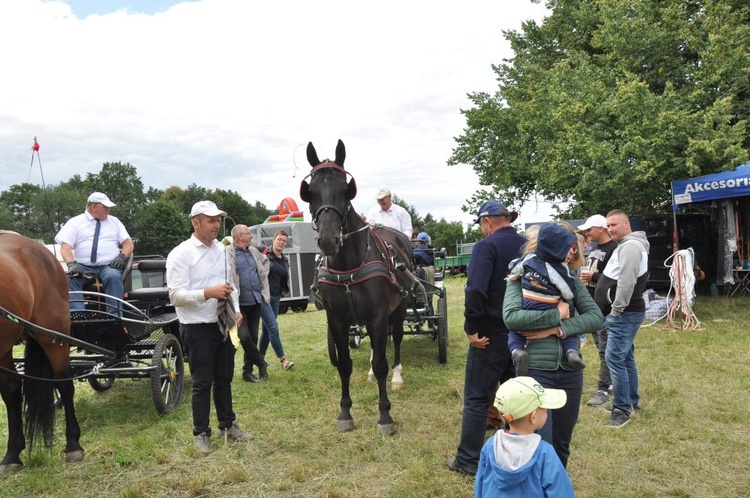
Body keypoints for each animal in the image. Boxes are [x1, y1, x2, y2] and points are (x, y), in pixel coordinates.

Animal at [302, 140, 414, 436]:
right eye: (311, 192)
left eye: (344, 189)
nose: (328, 240)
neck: (349, 265)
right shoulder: (338, 320)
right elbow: (344, 365)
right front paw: (345, 412)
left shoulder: (378, 315)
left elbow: (382, 362)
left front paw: (385, 416)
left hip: (399, 307)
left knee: (397, 338)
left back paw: (397, 376)